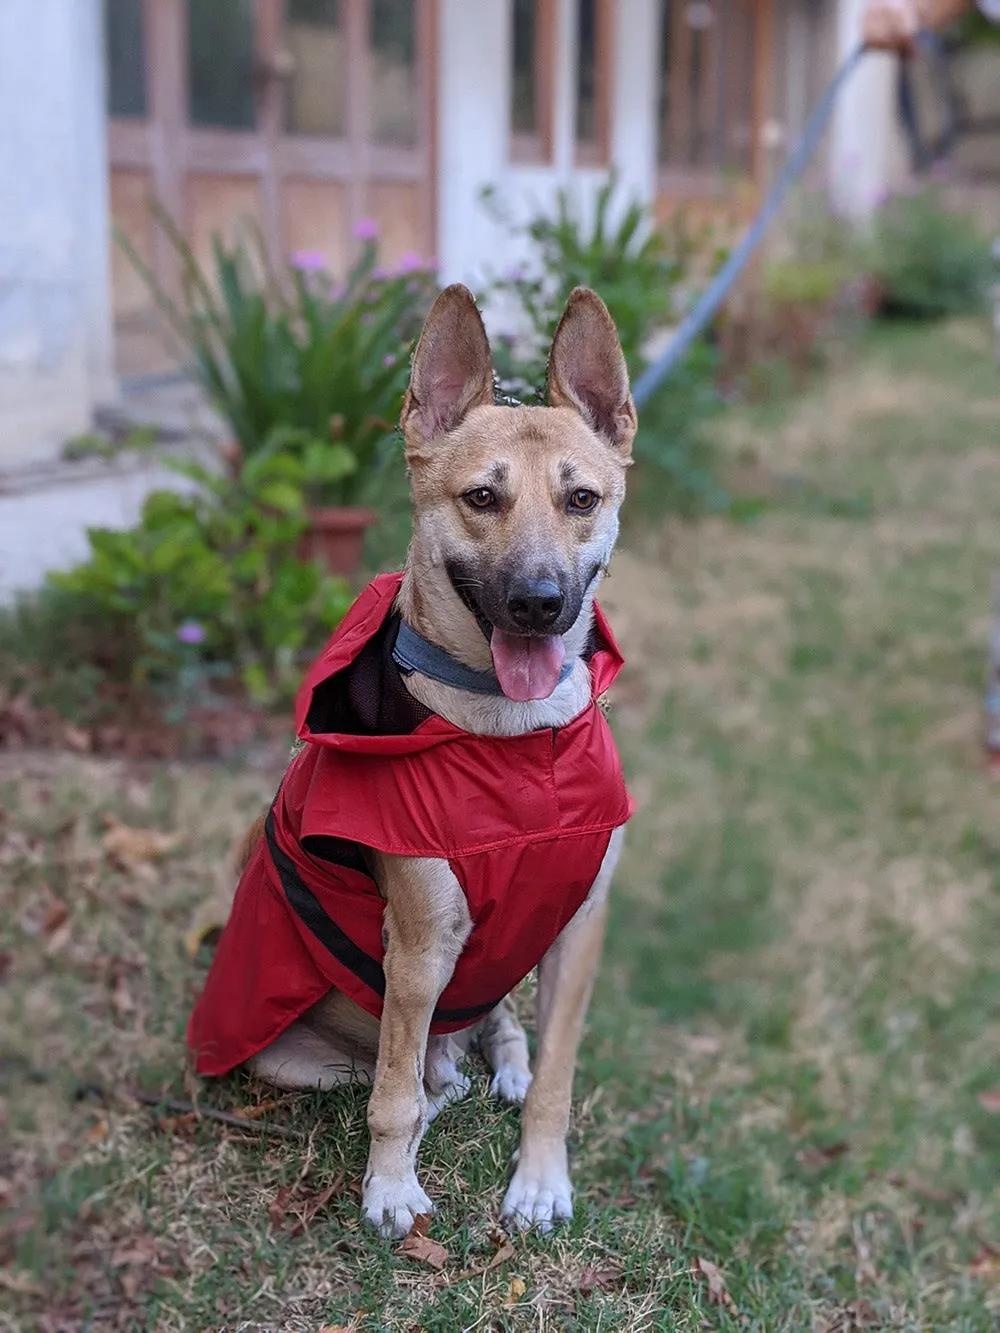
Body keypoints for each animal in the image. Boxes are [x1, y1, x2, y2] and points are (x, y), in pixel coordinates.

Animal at [188, 283, 637, 1237]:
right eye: (481, 497)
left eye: (581, 498)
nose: (539, 603)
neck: (514, 741)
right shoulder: (422, 940)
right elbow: (392, 1093)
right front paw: (391, 1186)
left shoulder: (578, 924)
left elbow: (558, 1073)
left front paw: (540, 1177)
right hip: (293, 1051)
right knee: (406, 1073)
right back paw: (440, 1086)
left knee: (498, 1029)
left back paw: (498, 1063)